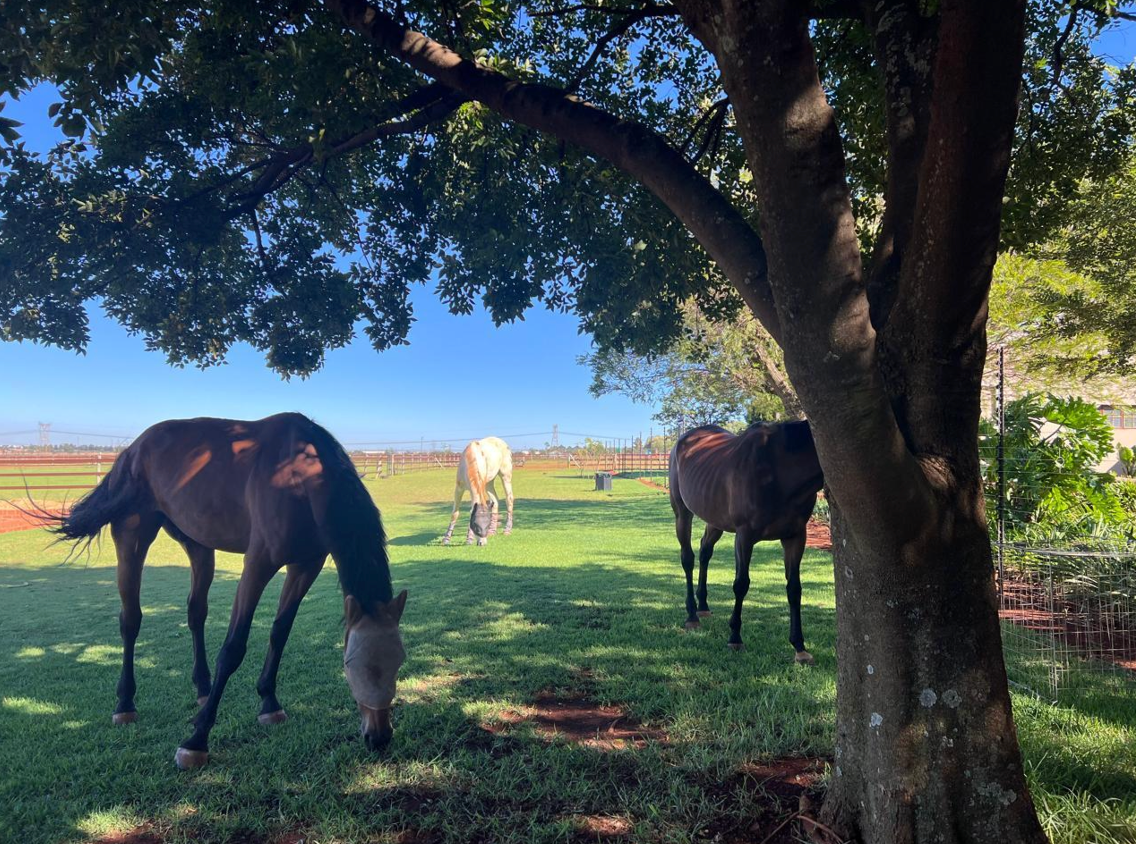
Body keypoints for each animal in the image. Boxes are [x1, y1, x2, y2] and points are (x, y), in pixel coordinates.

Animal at [52, 413, 408, 770]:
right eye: (350, 663)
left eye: (400, 661)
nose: (379, 737)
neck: (300, 474)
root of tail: (132, 451)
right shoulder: (258, 564)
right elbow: (233, 647)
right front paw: (196, 741)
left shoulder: (306, 565)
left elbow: (280, 632)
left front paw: (269, 702)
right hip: (132, 537)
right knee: (131, 620)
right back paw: (125, 704)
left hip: (198, 545)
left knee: (196, 612)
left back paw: (203, 688)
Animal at [668, 421, 823, 663]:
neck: (778, 468)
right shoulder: (744, 536)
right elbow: (741, 584)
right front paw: (735, 638)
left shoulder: (795, 537)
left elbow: (794, 588)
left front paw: (799, 646)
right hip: (682, 513)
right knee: (688, 559)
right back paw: (692, 615)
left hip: (716, 519)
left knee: (705, 551)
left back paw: (703, 605)